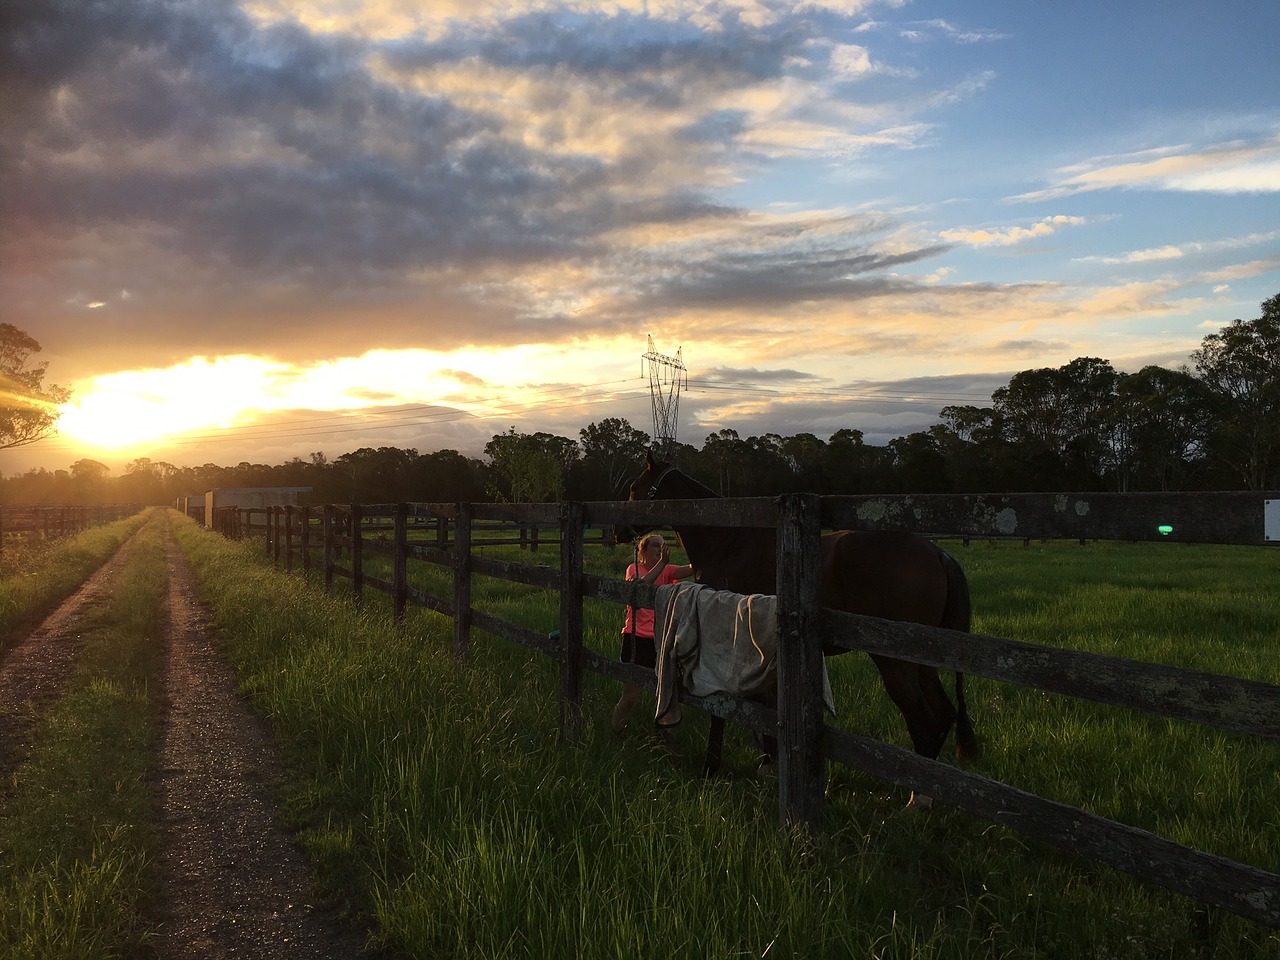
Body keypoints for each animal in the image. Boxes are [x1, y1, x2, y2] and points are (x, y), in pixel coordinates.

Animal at [622, 455, 977, 773]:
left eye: (635, 488)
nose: (619, 530)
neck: (728, 541)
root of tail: (937, 552)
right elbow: (762, 705)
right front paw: (768, 759)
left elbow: (724, 707)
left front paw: (713, 764)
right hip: (923, 664)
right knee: (943, 715)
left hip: (896, 664)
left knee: (924, 720)